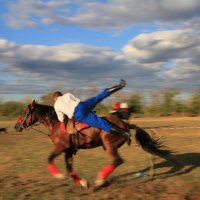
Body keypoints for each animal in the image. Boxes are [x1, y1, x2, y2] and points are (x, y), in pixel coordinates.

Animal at [14, 101, 176, 188]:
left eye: (24, 112)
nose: (16, 127)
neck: (56, 123)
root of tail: (125, 125)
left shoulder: (61, 147)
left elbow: (49, 159)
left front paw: (58, 175)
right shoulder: (68, 150)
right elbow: (69, 168)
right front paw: (82, 183)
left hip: (109, 144)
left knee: (117, 160)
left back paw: (100, 180)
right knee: (116, 161)